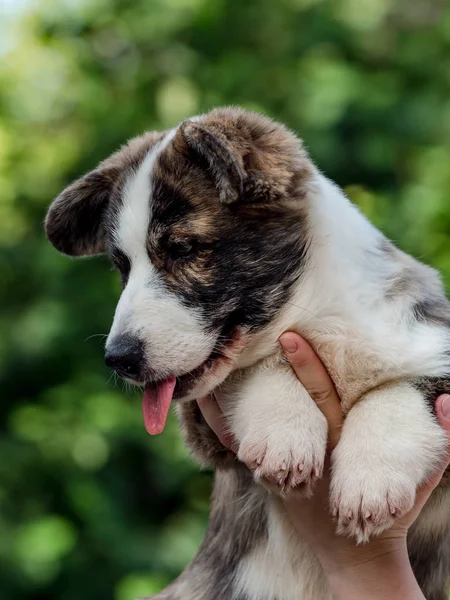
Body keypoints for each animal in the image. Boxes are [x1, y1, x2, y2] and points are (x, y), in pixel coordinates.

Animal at [45, 108, 450, 600]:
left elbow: (401, 390)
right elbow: (255, 367)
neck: (321, 320)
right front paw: (285, 435)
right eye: (122, 268)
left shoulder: (434, 341)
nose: (117, 359)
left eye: (182, 249)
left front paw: (369, 481)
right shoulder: (203, 426)